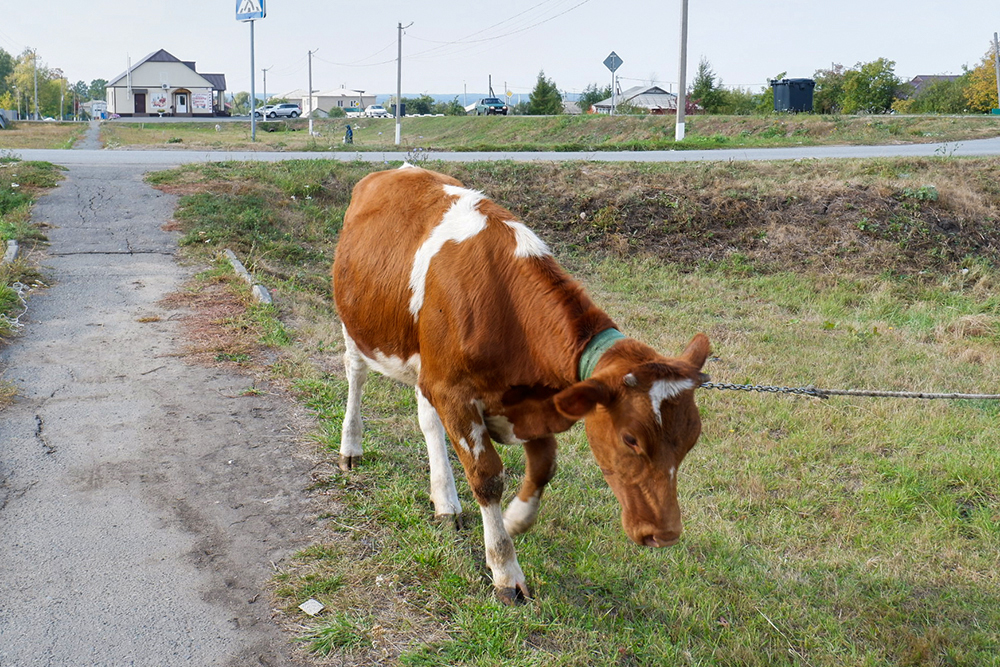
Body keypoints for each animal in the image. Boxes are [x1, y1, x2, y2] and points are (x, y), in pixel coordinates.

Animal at [332, 166, 708, 604]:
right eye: (630, 439)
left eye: (691, 439)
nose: (665, 534)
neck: (507, 310)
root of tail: (398, 169)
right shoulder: (454, 393)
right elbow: (488, 478)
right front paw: (504, 568)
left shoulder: (529, 400)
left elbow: (544, 468)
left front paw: (514, 519)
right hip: (356, 324)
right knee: (356, 374)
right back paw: (351, 448)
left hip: (425, 363)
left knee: (428, 420)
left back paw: (445, 500)